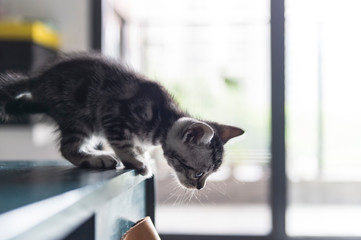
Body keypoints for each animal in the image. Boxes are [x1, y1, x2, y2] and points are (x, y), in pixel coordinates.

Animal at [0, 53, 243, 189]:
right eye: (200, 173)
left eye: (211, 174)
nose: (200, 187)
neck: (161, 119)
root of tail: (38, 79)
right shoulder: (113, 113)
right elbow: (121, 142)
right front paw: (135, 160)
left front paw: (141, 153)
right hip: (80, 118)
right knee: (68, 148)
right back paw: (95, 158)